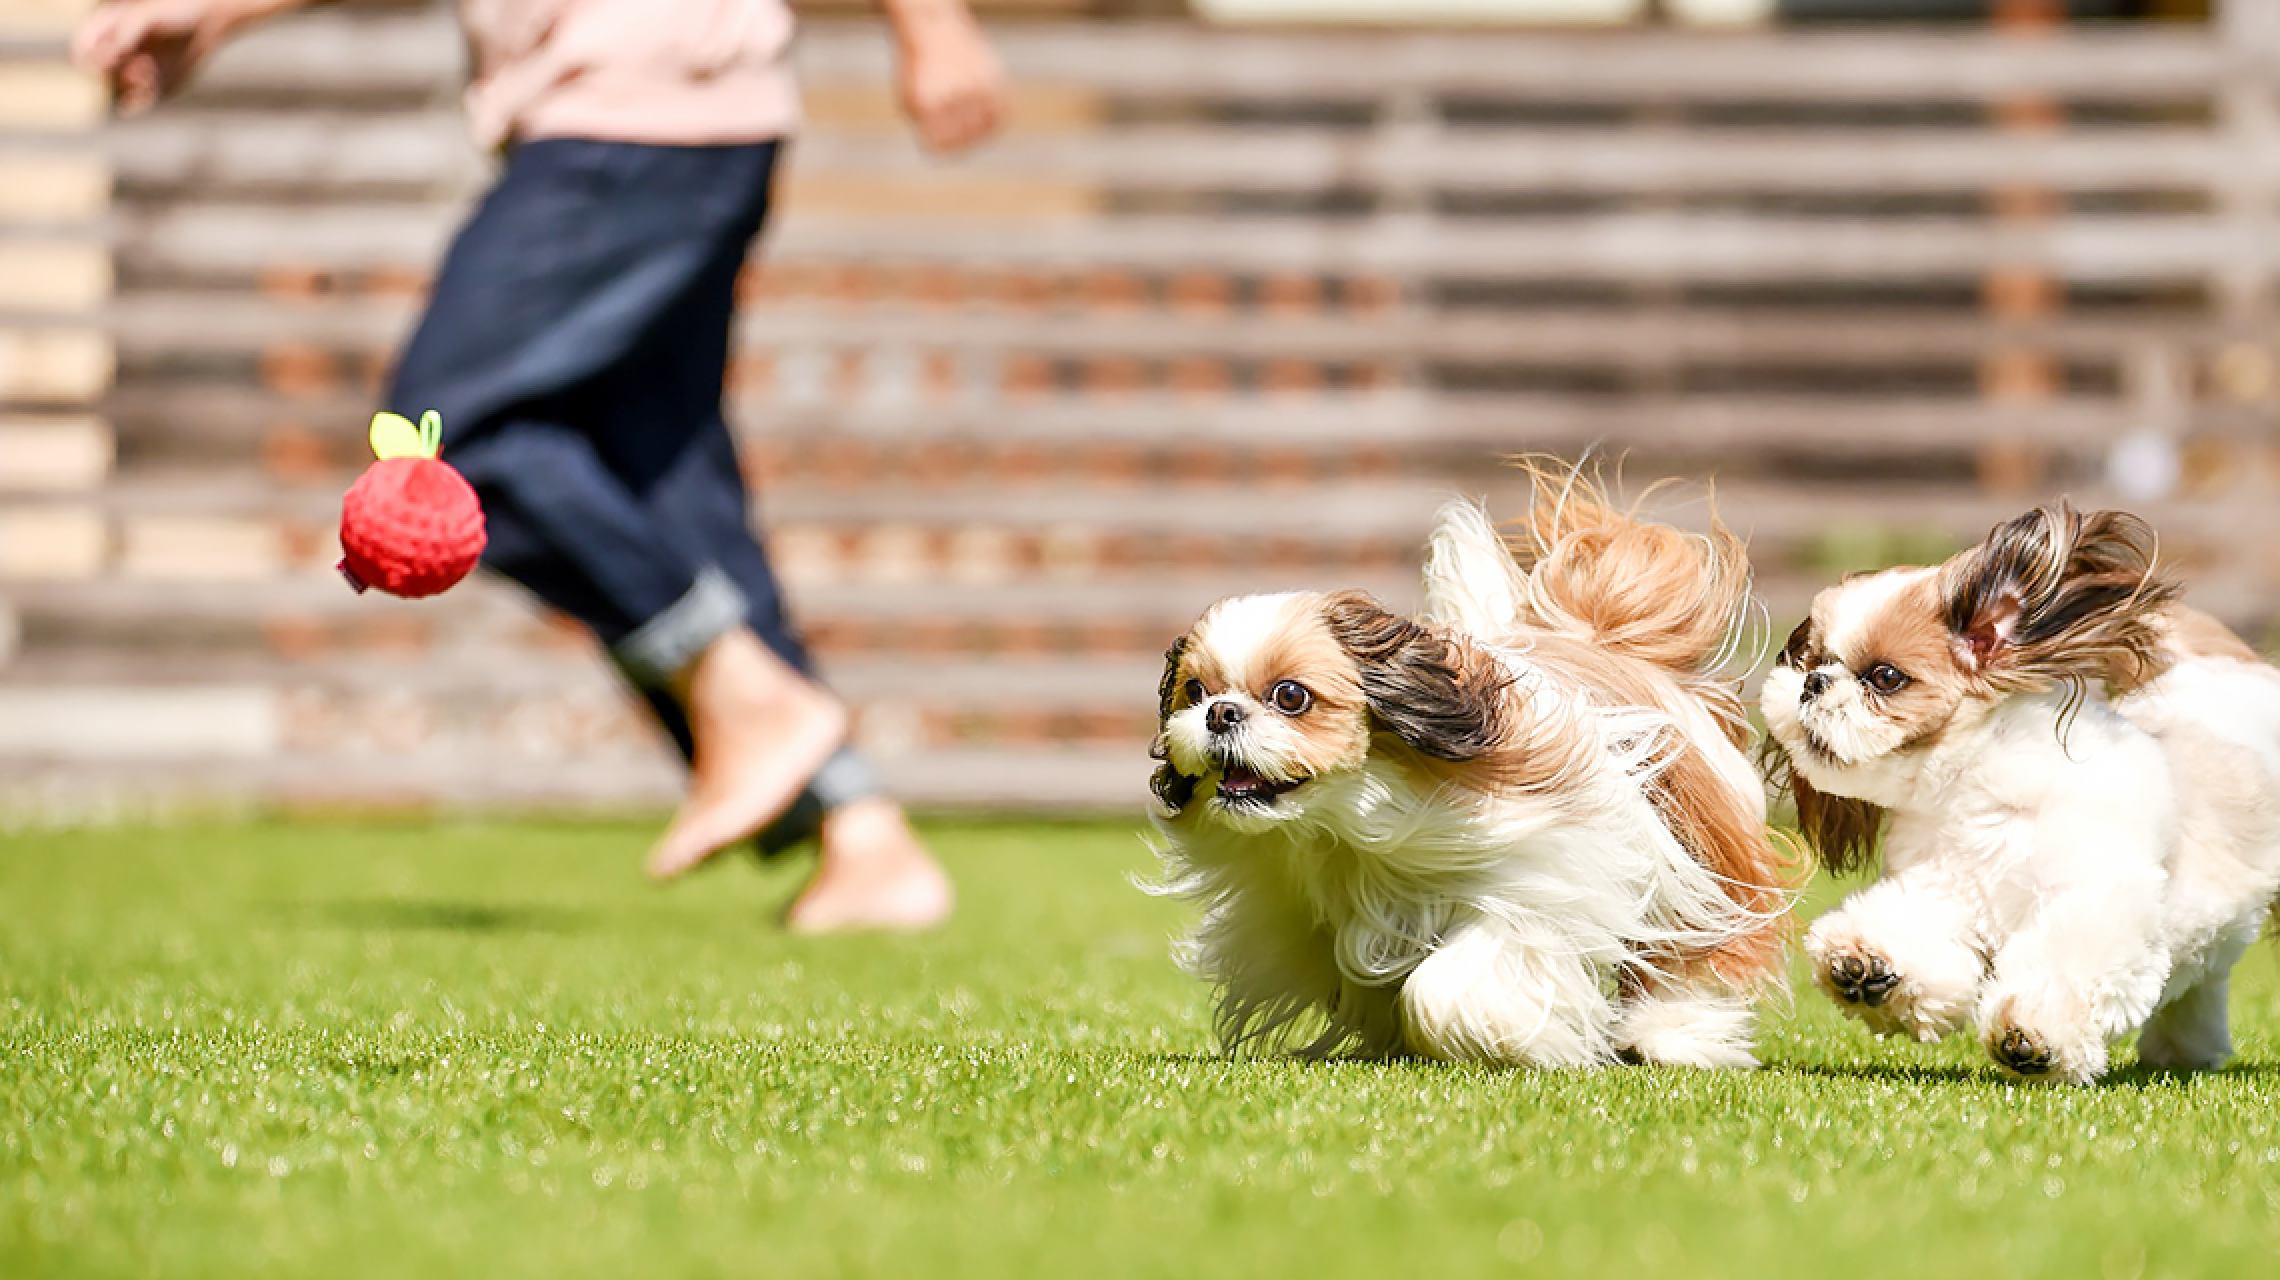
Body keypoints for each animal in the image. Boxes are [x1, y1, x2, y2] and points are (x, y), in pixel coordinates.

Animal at [1149, 470, 1787, 1067]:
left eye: (1289, 696)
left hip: (1698, 853)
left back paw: (1666, 1037)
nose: (1220, 713)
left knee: (1688, 954)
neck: (1356, 816)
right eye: (1194, 691)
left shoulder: (1542, 885)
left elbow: (1440, 989)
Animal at [1760, 504, 2280, 1081]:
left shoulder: (2099, 895)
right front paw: (1867, 967)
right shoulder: (1944, 891)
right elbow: (1914, 938)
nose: (1813, 684)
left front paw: (2030, 1033)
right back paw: (2185, 1049)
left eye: (1885, 676)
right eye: (1811, 661)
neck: (1974, 794)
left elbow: (2064, 963)